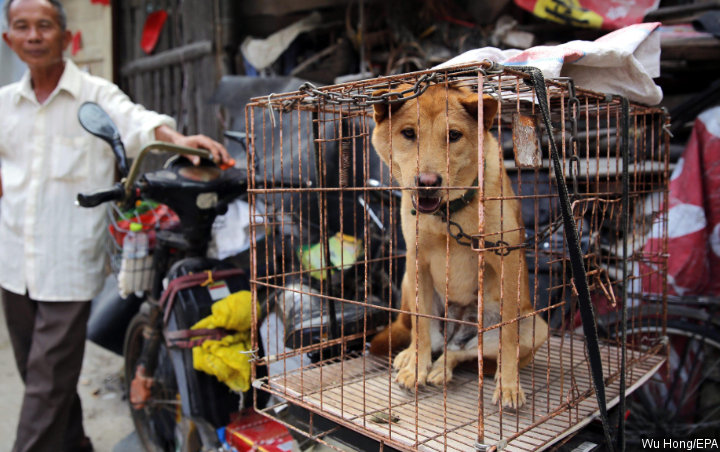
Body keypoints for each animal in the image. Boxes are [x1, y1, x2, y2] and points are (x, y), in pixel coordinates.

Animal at [368, 83, 548, 408]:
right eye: (408, 133)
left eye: (454, 135)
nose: (427, 182)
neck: (448, 215)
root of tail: (457, 332)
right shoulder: (417, 260)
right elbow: (421, 328)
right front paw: (416, 368)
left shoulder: (506, 259)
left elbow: (508, 337)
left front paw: (509, 385)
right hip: (408, 284)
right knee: (429, 339)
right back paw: (412, 358)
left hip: (536, 325)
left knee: (463, 354)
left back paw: (443, 369)